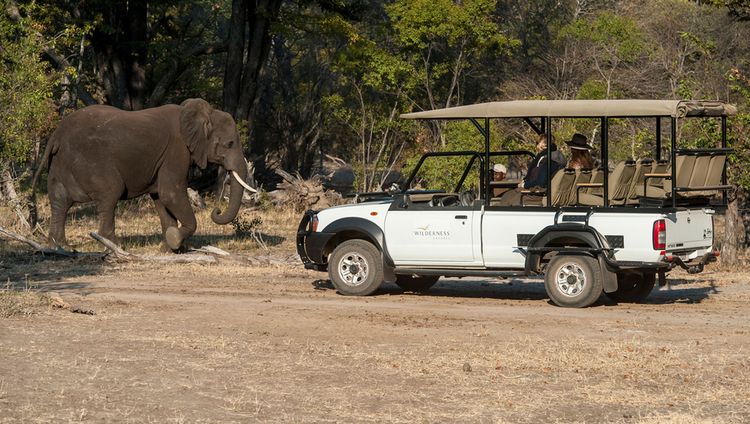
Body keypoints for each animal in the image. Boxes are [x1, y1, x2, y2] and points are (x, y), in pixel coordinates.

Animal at [33, 98, 253, 252]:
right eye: (229, 144)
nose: (216, 210)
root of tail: (57, 133)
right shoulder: (177, 150)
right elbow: (170, 193)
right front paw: (174, 240)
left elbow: (160, 198)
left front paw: (171, 249)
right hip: (90, 160)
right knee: (110, 192)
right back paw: (114, 246)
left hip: (61, 161)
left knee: (59, 200)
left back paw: (60, 246)